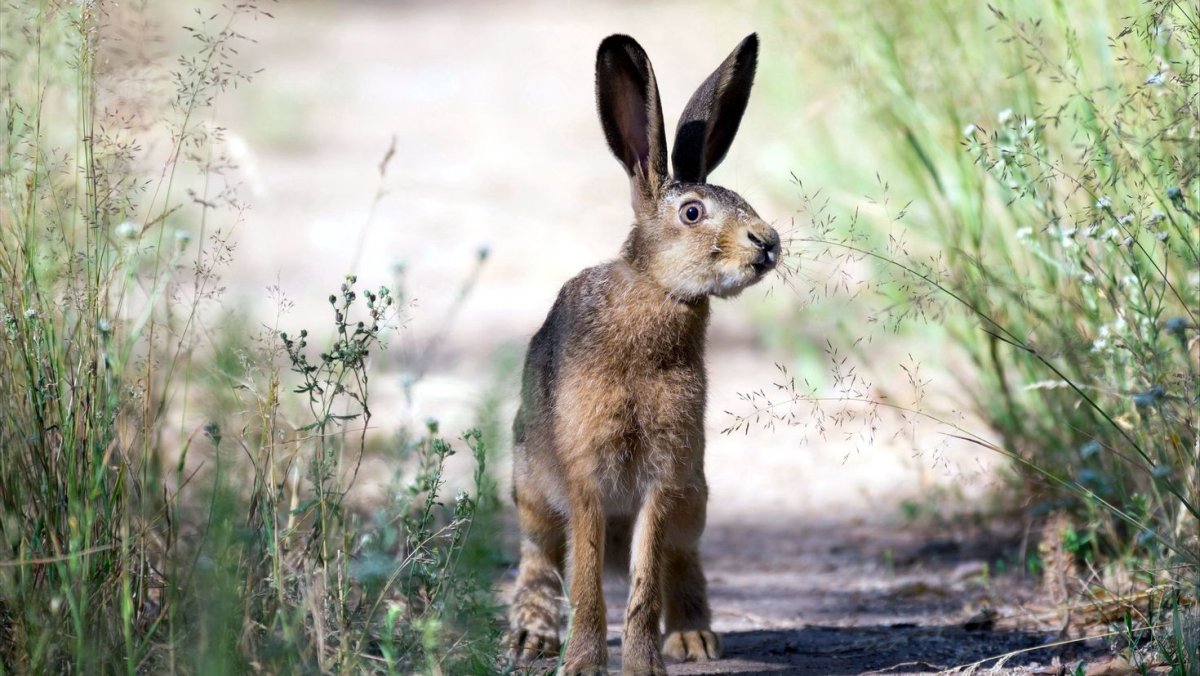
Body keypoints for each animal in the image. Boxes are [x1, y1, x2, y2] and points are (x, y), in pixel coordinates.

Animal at [508, 33, 778, 675]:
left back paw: (693, 639)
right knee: (540, 556)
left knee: (681, 559)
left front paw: (643, 665)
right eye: (693, 212)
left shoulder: (664, 475)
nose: (769, 243)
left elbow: (644, 580)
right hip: (531, 487)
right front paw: (583, 664)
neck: (657, 291)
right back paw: (531, 635)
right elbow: (585, 580)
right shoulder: (584, 471)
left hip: (693, 496)